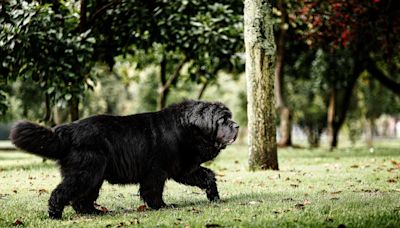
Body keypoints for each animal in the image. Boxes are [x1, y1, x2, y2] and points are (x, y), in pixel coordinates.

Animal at [10, 100, 238, 219]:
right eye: (222, 120)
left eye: (230, 118)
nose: (236, 126)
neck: (187, 127)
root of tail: (67, 130)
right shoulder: (156, 171)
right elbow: (153, 191)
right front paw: (162, 206)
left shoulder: (184, 167)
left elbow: (207, 176)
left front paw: (214, 196)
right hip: (87, 171)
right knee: (63, 192)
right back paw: (55, 214)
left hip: (94, 174)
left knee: (81, 198)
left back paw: (94, 212)